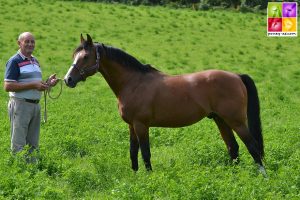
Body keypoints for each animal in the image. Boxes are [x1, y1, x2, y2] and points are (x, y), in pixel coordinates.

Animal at [64, 34, 266, 175]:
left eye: (85, 56)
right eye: (74, 55)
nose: (68, 79)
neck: (133, 82)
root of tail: (236, 76)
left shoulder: (141, 125)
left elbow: (145, 153)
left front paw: (149, 178)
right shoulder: (131, 126)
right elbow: (133, 152)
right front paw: (134, 177)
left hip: (236, 121)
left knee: (253, 147)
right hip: (220, 120)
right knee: (233, 148)